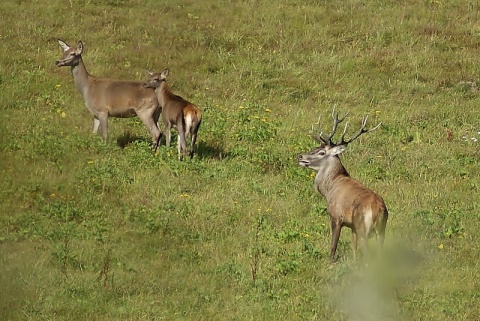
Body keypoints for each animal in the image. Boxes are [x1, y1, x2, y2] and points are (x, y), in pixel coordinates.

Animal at [298, 110, 388, 262]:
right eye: (315, 147)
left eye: (321, 152)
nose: (300, 156)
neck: (328, 190)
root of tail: (378, 209)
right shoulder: (352, 226)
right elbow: (353, 247)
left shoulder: (336, 216)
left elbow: (333, 245)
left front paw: (330, 262)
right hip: (381, 230)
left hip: (363, 227)